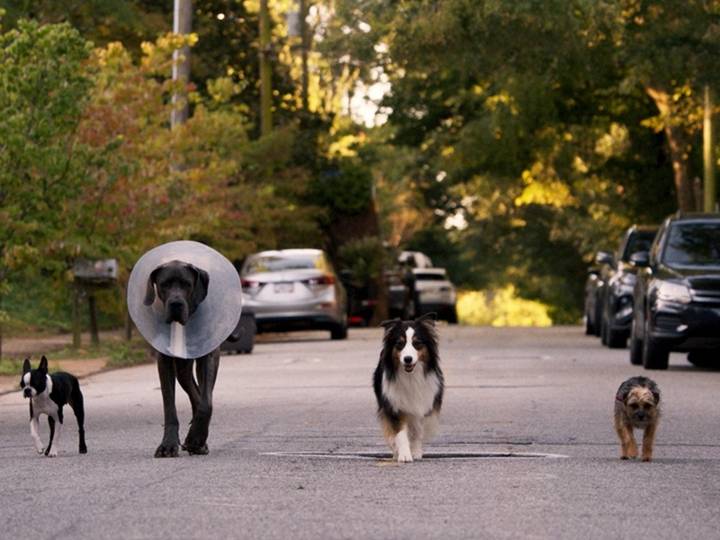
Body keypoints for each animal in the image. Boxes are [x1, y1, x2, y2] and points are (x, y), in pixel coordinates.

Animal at [374, 314, 442, 462]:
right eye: (400, 344)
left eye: (417, 343)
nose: (408, 359)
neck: (411, 376)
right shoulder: (394, 407)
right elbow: (399, 433)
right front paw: (404, 454)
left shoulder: (423, 406)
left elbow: (417, 431)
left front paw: (415, 452)